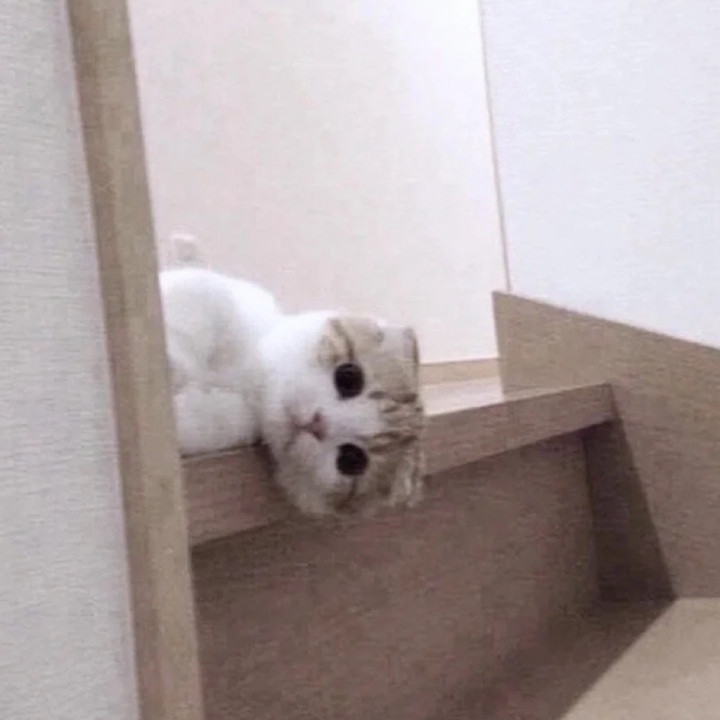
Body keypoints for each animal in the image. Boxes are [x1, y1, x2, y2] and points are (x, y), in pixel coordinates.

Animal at [160, 267, 425, 516]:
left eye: (351, 460)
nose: (318, 423)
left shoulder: (236, 422)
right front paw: (173, 367)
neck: (252, 379)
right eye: (349, 378)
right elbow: (191, 310)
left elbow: (210, 423)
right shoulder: (217, 295)